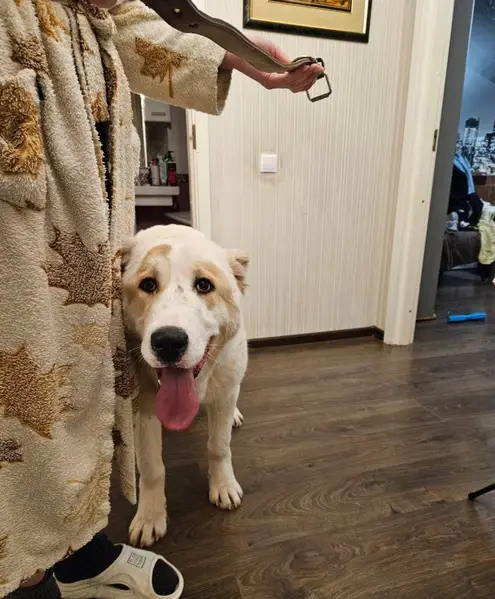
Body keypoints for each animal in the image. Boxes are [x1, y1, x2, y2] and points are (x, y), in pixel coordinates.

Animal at [121, 225, 249, 547]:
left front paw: (223, 485)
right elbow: (152, 467)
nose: (168, 341)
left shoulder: (224, 394)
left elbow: (219, 445)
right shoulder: (145, 408)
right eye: (148, 284)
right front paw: (150, 516)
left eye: (204, 285)